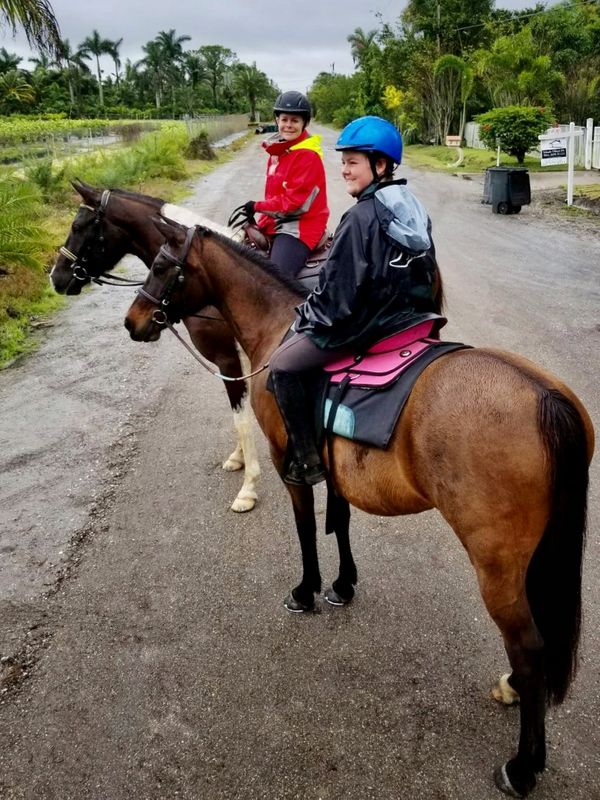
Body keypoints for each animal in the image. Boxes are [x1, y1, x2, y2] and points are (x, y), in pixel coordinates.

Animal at [48, 181, 260, 512]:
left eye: (78, 226)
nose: (56, 277)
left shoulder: (228, 360)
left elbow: (242, 420)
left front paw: (248, 488)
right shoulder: (237, 365)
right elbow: (242, 415)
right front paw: (239, 458)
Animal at [123, 216, 596, 796]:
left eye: (161, 266)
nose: (132, 321)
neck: (279, 327)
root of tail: (544, 395)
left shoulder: (288, 463)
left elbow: (307, 529)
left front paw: (306, 591)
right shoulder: (335, 474)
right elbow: (340, 523)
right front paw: (343, 585)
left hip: (497, 565)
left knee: (528, 648)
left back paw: (524, 765)